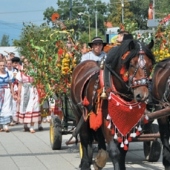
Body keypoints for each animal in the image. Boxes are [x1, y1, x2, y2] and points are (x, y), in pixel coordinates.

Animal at [70, 38, 155, 170]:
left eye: (150, 66)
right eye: (131, 64)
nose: (143, 95)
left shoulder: (125, 121)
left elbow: (123, 150)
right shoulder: (107, 119)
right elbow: (115, 151)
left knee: (98, 136)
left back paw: (99, 158)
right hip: (80, 113)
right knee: (85, 138)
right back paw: (85, 163)